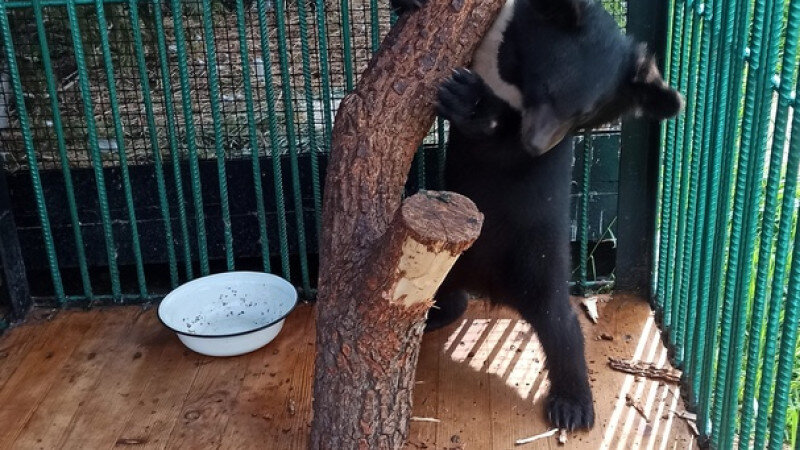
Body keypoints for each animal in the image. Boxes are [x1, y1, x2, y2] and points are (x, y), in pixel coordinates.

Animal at [394, 0, 680, 432]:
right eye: (548, 88)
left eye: (584, 116)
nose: (536, 143)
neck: (507, 71)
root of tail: (491, 288)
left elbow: (504, 148)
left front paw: (469, 100)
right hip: (447, 270)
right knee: (450, 300)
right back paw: (437, 315)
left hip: (537, 261)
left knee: (561, 327)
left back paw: (573, 405)